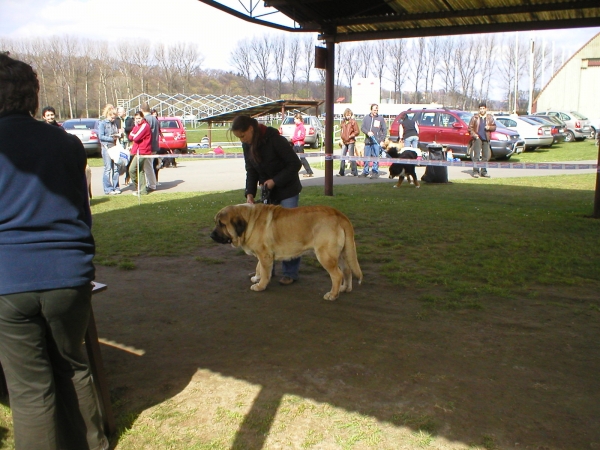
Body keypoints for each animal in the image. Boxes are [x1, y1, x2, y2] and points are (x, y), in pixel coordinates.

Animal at [211, 205, 360, 302]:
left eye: (222, 224)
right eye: (216, 222)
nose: (211, 235)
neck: (249, 221)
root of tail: (338, 214)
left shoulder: (265, 255)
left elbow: (264, 272)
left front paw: (260, 286)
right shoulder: (263, 254)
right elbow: (259, 267)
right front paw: (257, 278)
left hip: (325, 255)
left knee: (337, 275)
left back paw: (333, 295)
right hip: (341, 254)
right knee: (347, 271)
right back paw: (344, 288)